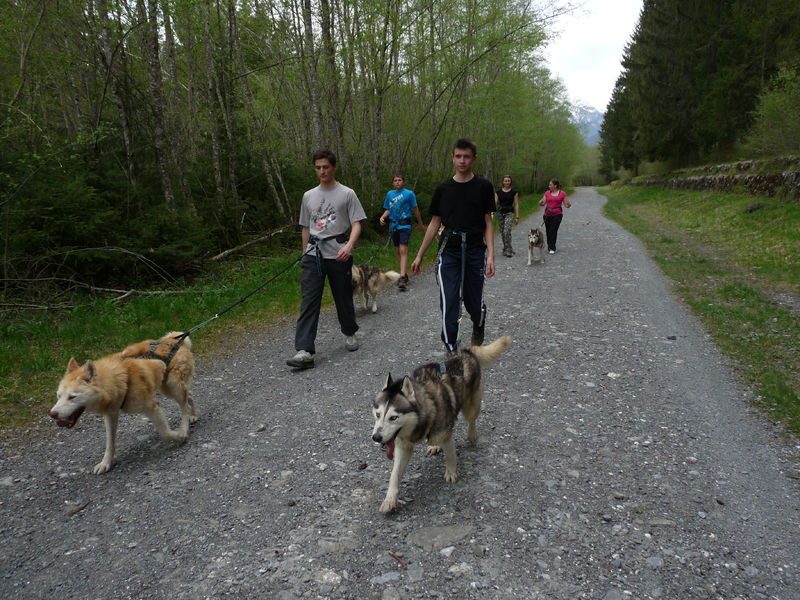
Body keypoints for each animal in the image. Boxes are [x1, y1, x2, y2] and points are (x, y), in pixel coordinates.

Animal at [370, 336, 510, 512]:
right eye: (378, 414)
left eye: (393, 418)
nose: (376, 437)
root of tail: (466, 352)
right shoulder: (403, 445)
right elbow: (394, 474)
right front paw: (390, 499)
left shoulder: (446, 434)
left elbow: (450, 455)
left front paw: (451, 472)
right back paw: (434, 445)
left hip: (470, 406)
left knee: (471, 419)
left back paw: (471, 435)